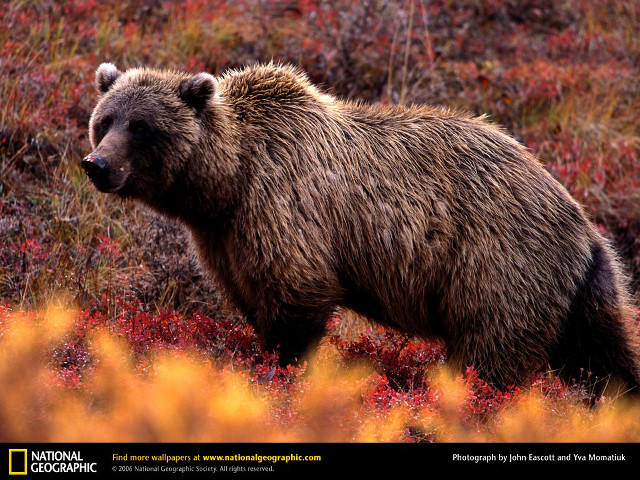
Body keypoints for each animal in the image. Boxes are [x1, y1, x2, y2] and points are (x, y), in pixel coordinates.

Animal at [83, 62, 640, 397]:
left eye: (141, 127)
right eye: (105, 120)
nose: (97, 165)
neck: (226, 182)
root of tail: (583, 221)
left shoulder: (282, 206)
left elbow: (297, 294)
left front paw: (283, 369)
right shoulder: (224, 236)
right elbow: (252, 295)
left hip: (499, 263)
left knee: (491, 351)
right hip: (578, 287)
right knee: (602, 354)